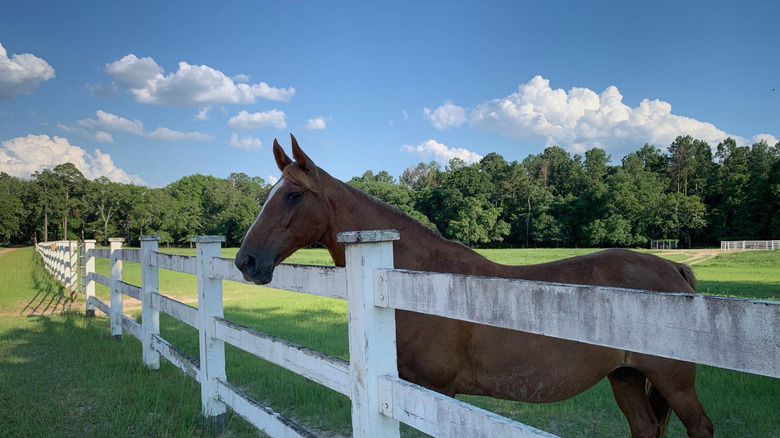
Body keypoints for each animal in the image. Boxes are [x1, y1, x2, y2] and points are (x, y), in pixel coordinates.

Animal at [235, 135, 713, 438]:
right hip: (627, 376)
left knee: (699, 426)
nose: (245, 261)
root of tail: (675, 270)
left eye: (293, 195)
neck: (417, 280)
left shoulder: (438, 392)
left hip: (673, 382)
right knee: (645, 428)